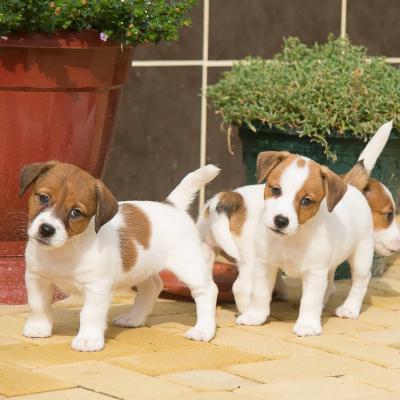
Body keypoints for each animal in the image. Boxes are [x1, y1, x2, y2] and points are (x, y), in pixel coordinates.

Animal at [20, 162, 220, 350]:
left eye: (76, 212)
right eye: (43, 198)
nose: (46, 229)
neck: (65, 248)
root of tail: (172, 205)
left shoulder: (97, 288)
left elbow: (90, 314)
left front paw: (88, 339)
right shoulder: (36, 279)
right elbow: (38, 305)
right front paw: (39, 327)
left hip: (189, 265)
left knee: (207, 291)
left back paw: (203, 330)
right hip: (143, 267)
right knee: (153, 286)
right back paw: (134, 318)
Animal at [198, 122, 396, 322]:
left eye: (306, 201)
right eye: (389, 215)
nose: (280, 220)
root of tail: (227, 198)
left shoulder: (319, 265)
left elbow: (316, 291)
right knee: (241, 287)